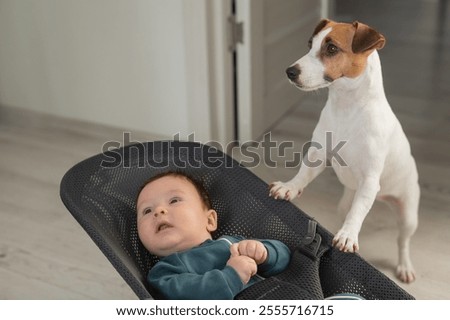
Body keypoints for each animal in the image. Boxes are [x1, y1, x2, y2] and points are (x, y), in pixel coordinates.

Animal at [268, 18, 420, 282]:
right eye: (310, 44)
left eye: (331, 49)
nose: (290, 72)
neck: (346, 108)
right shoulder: (318, 155)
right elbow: (303, 174)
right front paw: (289, 187)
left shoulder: (369, 179)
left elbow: (358, 212)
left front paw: (348, 235)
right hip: (344, 203)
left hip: (408, 214)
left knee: (402, 242)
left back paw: (404, 266)